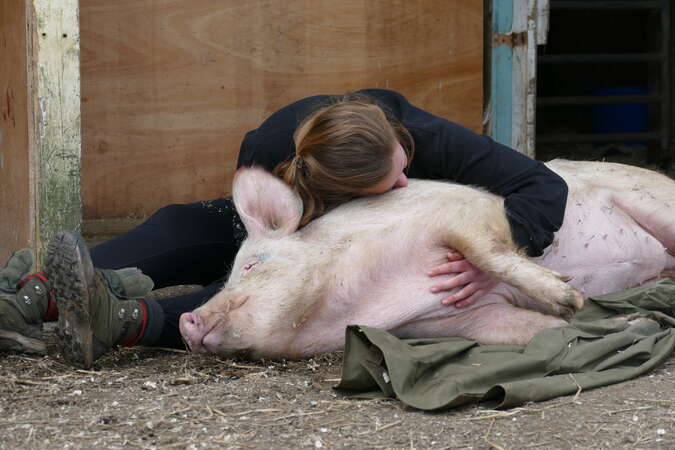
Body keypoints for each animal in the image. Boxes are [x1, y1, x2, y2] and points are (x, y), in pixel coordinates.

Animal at [180, 159, 675, 358]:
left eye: (250, 265)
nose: (188, 319)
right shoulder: (459, 322)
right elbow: (534, 330)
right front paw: (631, 324)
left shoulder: (465, 211)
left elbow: (488, 254)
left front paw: (568, 298)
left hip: (656, 203)